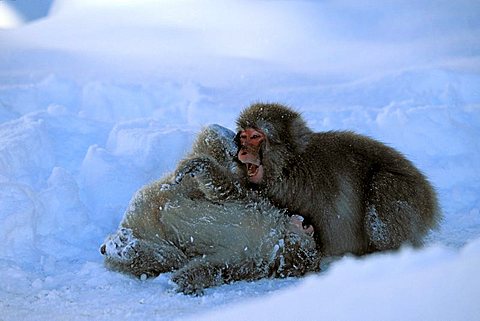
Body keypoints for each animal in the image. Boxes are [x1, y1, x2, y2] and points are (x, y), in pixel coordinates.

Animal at [100, 124, 320, 294]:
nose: (308, 224)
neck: (272, 238)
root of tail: (131, 223)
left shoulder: (248, 262)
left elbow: (214, 267)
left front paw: (184, 281)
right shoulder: (254, 203)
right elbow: (224, 189)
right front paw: (198, 166)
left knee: (166, 258)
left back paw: (125, 250)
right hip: (164, 193)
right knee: (208, 148)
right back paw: (224, 137)